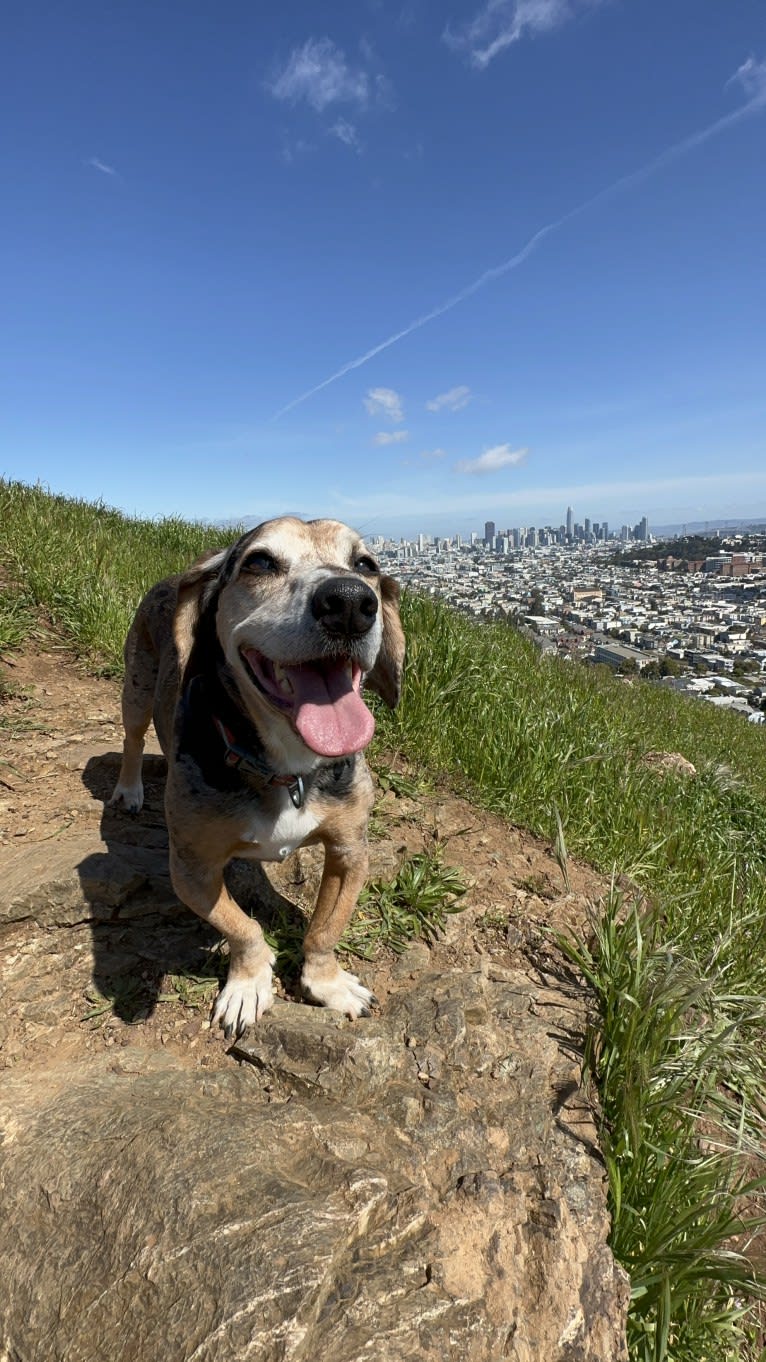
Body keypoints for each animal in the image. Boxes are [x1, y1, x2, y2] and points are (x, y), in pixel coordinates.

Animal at [110, 514, 406, 1035]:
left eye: (366, 565)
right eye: (260, 562)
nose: (350, 602)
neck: (288, 768)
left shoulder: (350, 851)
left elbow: (325, 929)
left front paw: (327, 983)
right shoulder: (192, 869)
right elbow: (242, 928)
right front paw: (248, 984)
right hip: (137, 686)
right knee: (132, 737)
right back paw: (129, 789)